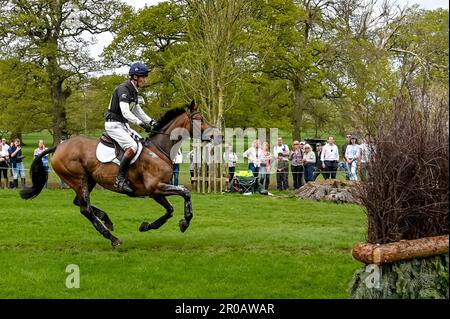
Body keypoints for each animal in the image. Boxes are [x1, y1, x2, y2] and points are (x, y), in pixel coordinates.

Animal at [20, 101, 218, 249]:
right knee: (85, 209)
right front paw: (185, 222)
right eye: (200, 119)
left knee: (80, 203)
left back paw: (106, 219)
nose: (216, 135)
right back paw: (112, 238)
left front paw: (146, 226)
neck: (159, 150)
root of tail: (59, 146)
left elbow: (169, 210)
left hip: (88, 180)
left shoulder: (155, 191)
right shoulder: (156, 187)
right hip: (78, 180)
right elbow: (185, 192)